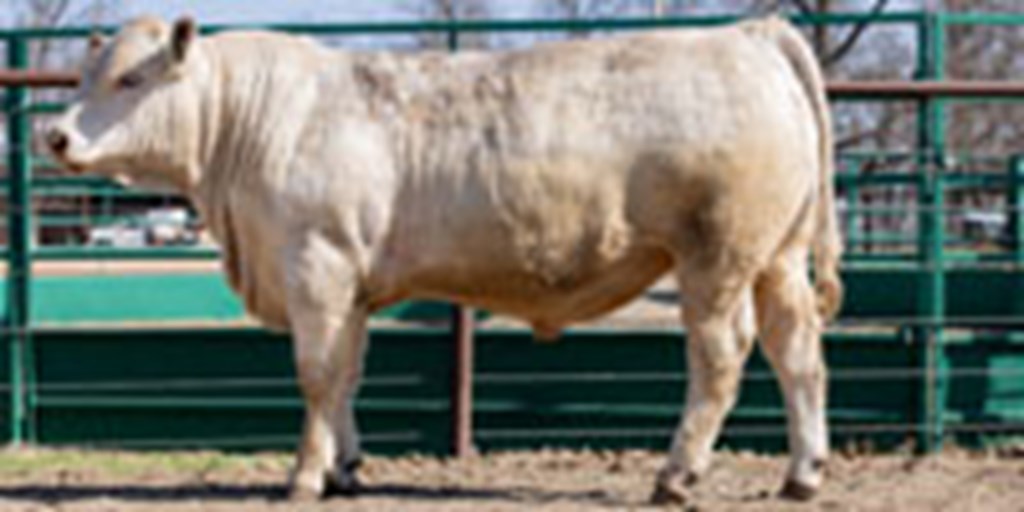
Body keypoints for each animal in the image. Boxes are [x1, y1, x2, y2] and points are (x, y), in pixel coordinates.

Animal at [48, 14, 843, 503]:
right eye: (86, 76)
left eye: (130, 79)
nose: (54, 135)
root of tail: (750, 34)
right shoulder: (351, 286)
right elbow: (347, 375)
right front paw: (345, 470)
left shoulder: (317, 268)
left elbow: (315, 377)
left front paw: (303, 477)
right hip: (777, 258)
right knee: (796, 351)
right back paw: (802, 474)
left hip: (717, 258)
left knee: (721, 357)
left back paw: (676, 475)